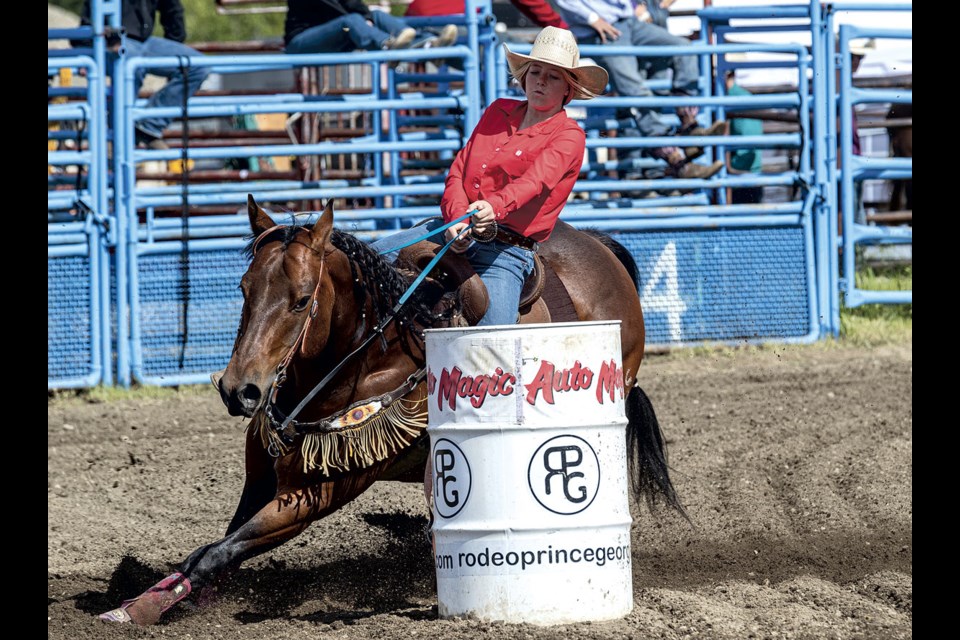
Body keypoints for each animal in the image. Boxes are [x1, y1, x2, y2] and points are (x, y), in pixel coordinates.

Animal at [99, 195, 684, 624]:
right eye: (244, 289)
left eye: (303, 299)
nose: (239, 390)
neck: (363, 359)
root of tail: (598, 246)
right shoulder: (262, 475)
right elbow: (215, 547)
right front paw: (147, 602)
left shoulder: (320, 492)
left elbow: (218, 551)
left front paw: (145, 609)